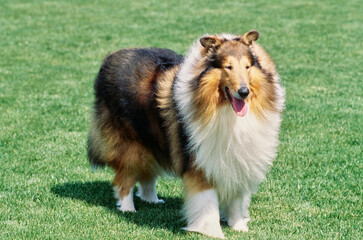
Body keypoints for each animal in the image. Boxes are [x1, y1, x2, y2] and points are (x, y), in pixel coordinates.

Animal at [87, 30, 284, 238]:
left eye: (247, 66)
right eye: (228, 67)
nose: (244, 92)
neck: (224, 110)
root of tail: (111, 57)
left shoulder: (237, 160)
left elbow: (236, 199)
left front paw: (239, 226)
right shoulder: (200, 161)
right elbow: (207, 202)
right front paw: (213, 232)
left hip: (152, 141)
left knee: (147, 174)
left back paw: (152, 200)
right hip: (131, 145)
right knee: (124, 177)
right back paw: (127, 208)